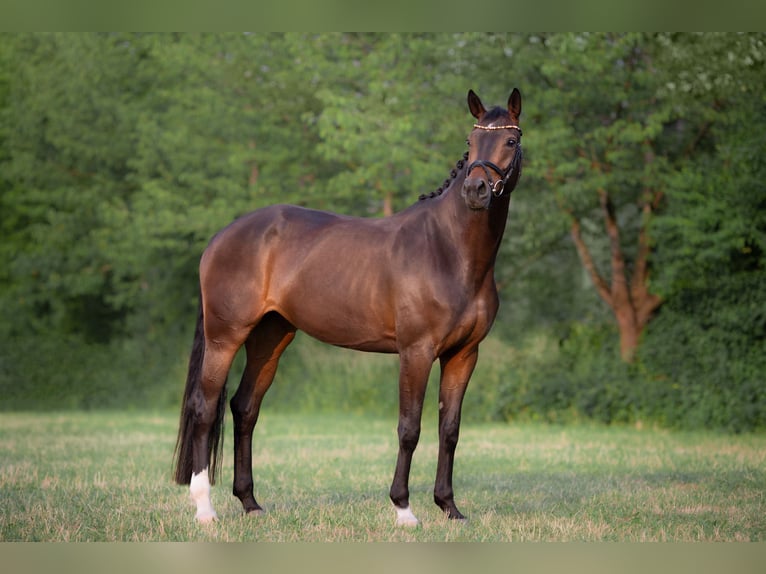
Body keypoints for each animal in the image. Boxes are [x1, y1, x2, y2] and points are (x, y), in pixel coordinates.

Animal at [175, 86, 524, 528]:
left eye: (510, 141)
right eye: (471, 141)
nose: (475, 190)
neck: (449, 251)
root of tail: (220, 237)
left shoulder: (464, 355)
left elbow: (450, 429)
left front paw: (450, 507)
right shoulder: (416, 352)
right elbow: (409, 427)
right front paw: (404, 509)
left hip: (270, 338)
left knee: (244, 408)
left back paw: (250, 502)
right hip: (225, 337)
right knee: (205, 409)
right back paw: (205, 508)